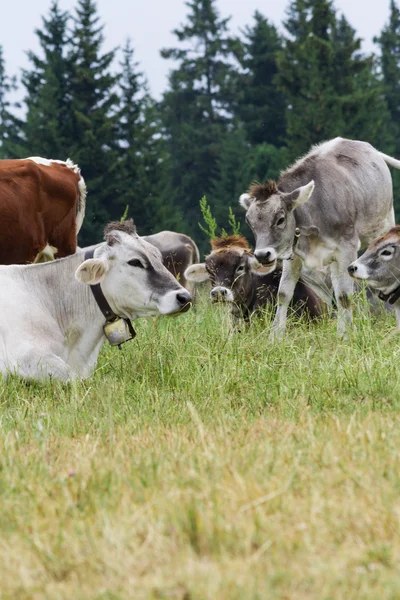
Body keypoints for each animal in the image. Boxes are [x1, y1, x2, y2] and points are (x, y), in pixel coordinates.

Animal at [239, 138, 398, 340]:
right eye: (250, 223)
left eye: (280, 219)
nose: (262, 255)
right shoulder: (293, 254)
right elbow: (283, 293)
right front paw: (275, 337)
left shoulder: (346, 248)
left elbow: (344, 295)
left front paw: (346, 335)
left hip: (383, 224)